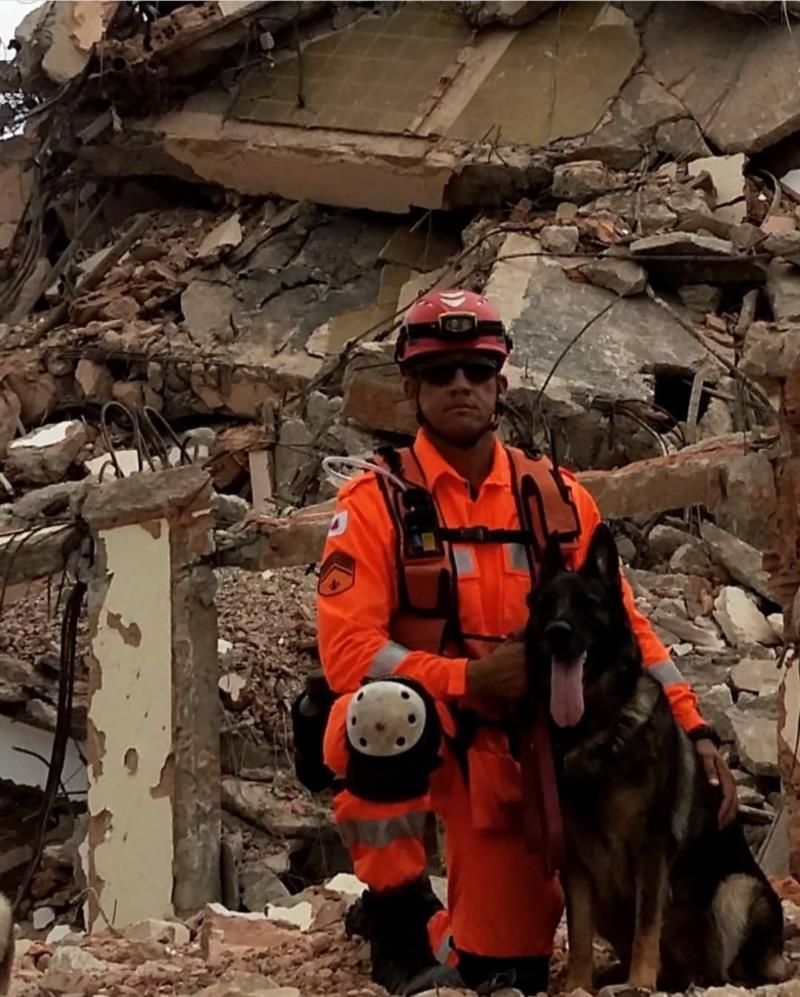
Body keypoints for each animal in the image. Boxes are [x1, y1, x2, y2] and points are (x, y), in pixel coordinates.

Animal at [524, 520, 788, 988]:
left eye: (588, 604)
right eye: (547, 603)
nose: (557, 633)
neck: (596, 728)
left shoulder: (650, 850)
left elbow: (647, 924)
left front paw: (640, 984)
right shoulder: (576, 866)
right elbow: (579, 933)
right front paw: (578, 985)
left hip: (736, 890)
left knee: (727, 966)